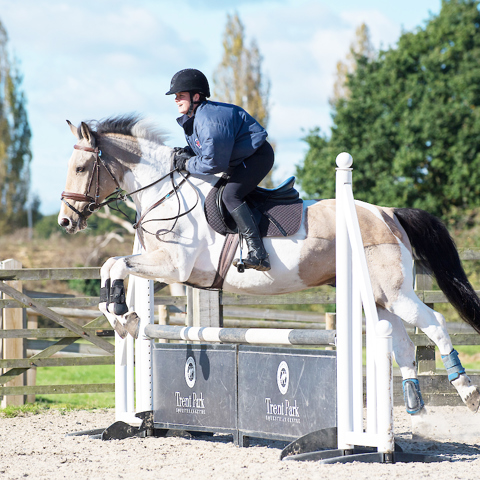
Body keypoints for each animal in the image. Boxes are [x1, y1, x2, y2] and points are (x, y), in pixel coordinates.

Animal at [58, 114, 480, 414]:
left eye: (80, 169)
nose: (65, 221)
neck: (165, 192)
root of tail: (387, 213)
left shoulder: (174, 266)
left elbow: (115, 265)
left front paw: (123, 315)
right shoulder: (157, 263)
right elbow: (110, 267)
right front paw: (123, 317)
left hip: (396, 293)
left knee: (435, 323)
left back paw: (466, 390)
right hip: (380, 298)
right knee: (403, 344)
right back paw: (415, 408)